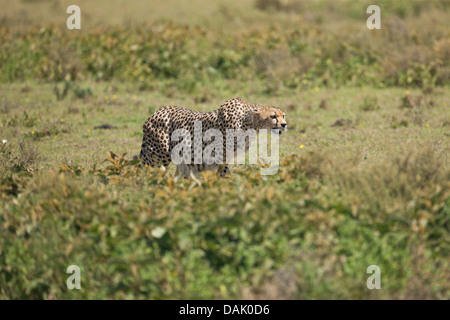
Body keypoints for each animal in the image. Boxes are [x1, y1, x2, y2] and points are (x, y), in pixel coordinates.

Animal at [139, 97, 286, 178]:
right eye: (273, 116)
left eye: (283, 115)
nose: (284, 124)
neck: (249, 123)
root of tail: (156, 112)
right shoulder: (218, 155)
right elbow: (225, 173)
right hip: (159, 155)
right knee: (145, 168)